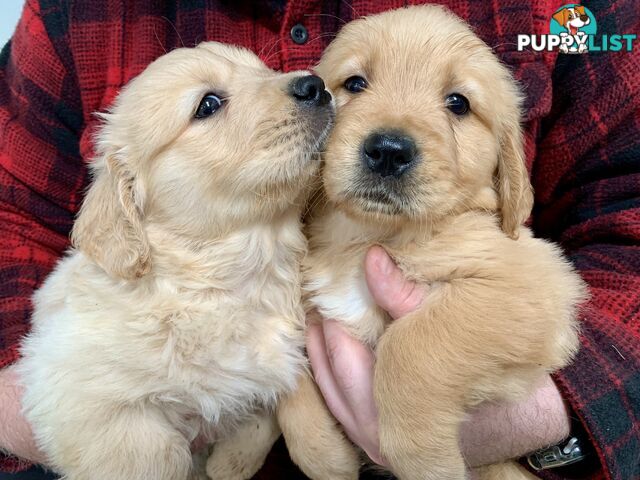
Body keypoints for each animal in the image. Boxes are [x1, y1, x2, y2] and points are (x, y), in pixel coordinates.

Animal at [17, 42, 332, 480]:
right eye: (208, 104)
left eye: (262, 69)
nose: (316, 85)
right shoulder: (68, 388)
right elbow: (153, 457)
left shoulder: (274, 362)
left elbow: (258, 421)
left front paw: (228, 464)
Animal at [280, 6, 592, 480]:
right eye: (355, 83)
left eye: (458, 103)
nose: (388, 150)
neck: (368, 234)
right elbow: (285, 374)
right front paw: (325, 455)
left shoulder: (533, 287)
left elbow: (411, 344)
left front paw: (424, 458)